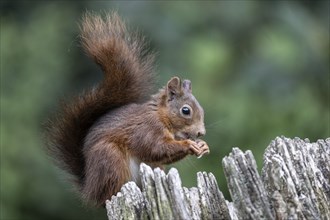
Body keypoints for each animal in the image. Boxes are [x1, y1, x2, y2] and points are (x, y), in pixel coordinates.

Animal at [45, 12, 210, 206]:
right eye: (186, 111)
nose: (201, 133)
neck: (161, 117)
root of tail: (90, 188)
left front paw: (203, 146)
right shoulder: (146, 129)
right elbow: (156, 148)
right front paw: (189, 145)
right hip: (110, 159)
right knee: (110, 192)